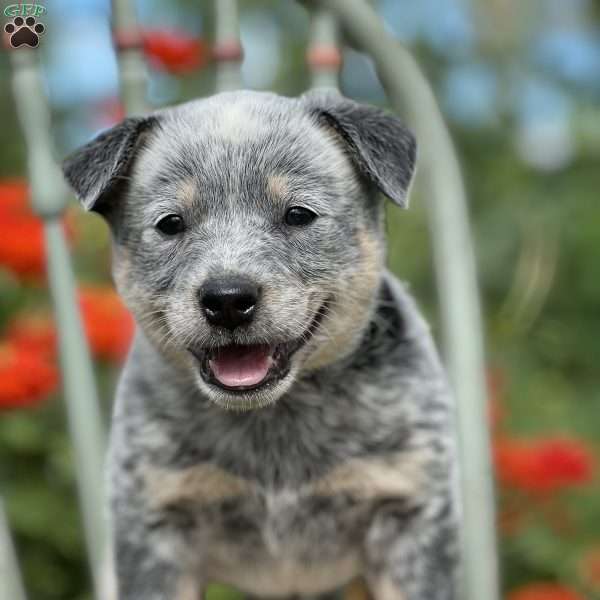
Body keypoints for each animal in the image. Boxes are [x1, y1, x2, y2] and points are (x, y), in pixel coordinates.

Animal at [62, 90, 460, 600]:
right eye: (170, 223)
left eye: (298, 215)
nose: (228, 300)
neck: (272, 421)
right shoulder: (155, 528)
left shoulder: (408, 514)